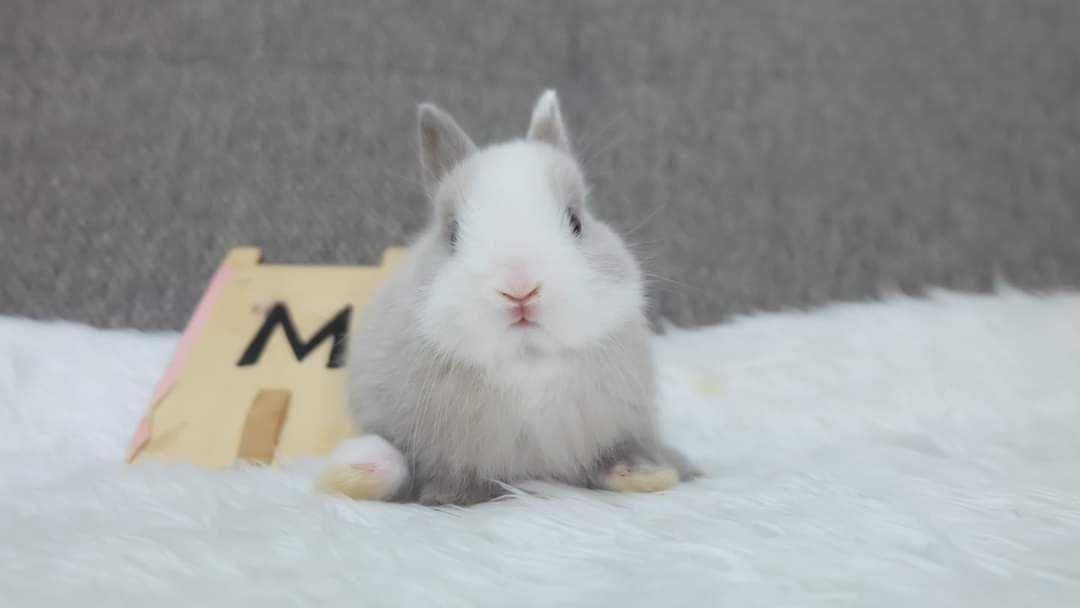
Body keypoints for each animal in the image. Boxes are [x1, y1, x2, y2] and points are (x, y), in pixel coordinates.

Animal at [315, 90, 699, 507]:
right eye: (452, 234)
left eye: (576, 222)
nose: (520, 288)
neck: (526, 369)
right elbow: (396, 456)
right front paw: (357, 473)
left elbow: (618, 455)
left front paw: (648, 473)